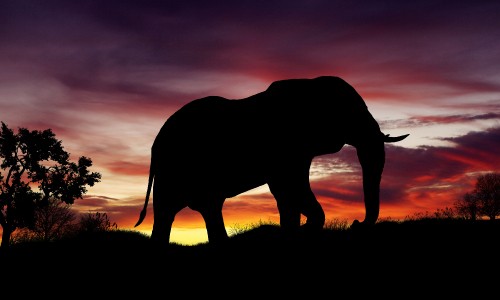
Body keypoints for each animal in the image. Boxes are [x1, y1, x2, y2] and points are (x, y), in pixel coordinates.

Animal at [135, 75, 408, 246]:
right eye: (350, 112)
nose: (355, 224)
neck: (310, 84)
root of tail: (155, 143)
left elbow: (287, 192)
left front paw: (294, 232)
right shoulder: (284, 148)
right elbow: (289, 187)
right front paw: (303, 230)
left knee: (203, 208)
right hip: (174, 167)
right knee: (172, 210)